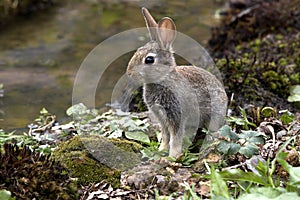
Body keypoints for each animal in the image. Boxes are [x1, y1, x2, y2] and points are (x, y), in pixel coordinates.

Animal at [126, 7, 227, 158]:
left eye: (149, 60)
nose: (129, 73)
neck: (163, 79)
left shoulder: (177, 116)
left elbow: (175, 138)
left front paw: (172, 156)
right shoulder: (162, 119)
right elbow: (165, 136)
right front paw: (162, 150)